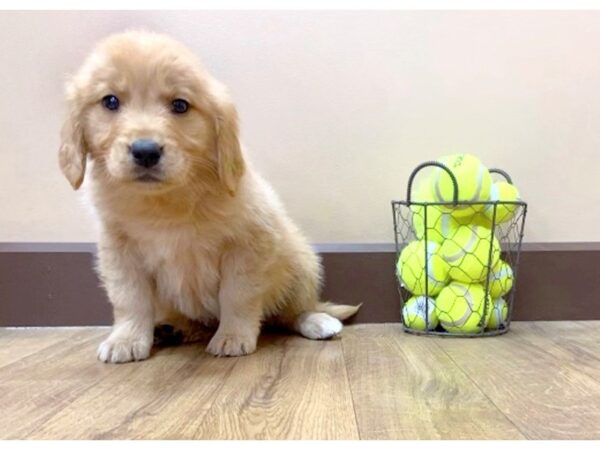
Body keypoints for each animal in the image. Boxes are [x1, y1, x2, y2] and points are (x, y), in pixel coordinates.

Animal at [58, 30, 358, 362]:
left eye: (180, 105)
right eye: (110, 101)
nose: (145, 151)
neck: (165, 201)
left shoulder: (248, 246)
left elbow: (237, 295)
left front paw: (232, 336)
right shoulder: (119, 250)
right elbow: (129, 298)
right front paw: (126, 338)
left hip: (300, 264)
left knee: (292, 311)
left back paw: (317, 321)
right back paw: (173, 329)